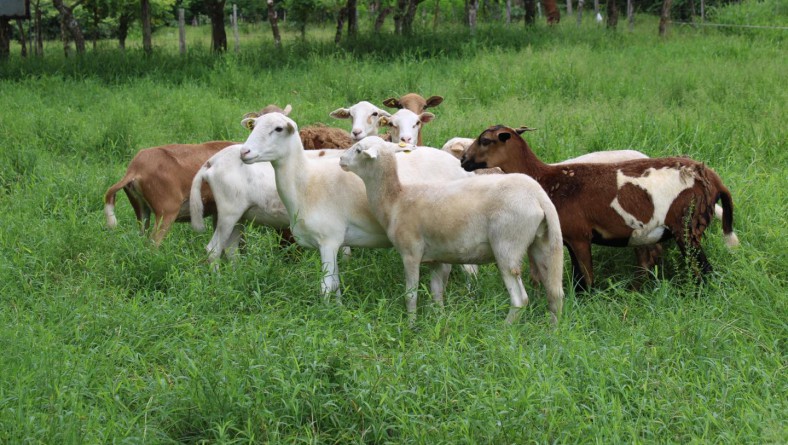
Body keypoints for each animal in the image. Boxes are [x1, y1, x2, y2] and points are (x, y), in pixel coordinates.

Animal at [240, 112, 474, 304]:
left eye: (278, 129)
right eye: (254, 126)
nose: (244, 151)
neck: (306, 182)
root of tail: (461, 167)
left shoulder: (328, 240)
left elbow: (325, 287)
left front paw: (326, 315)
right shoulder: (334, 243)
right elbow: (335, 285)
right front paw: (338, 310)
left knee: (471, 269)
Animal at [342, 139, 564, 322]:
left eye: (359, 150)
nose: (341, 159)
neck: (396, 198)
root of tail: (537, 195)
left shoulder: (410, 253)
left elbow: (411, 295)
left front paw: (411, 325)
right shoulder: (436, 259)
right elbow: (437, 293)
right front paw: (439, 320)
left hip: (507, 246)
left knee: (520, 299)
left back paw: (506, 328)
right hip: (542, 243)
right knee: (555, 292)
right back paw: (552, 329)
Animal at [462, 125, 740, 292]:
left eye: (485, 140)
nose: (464, 161)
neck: (548, 180)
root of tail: (713, 179)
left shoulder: (580, 236)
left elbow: (586, 279)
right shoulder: (570, 237)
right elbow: (577, 278)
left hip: (687, 224)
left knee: (703, 268)